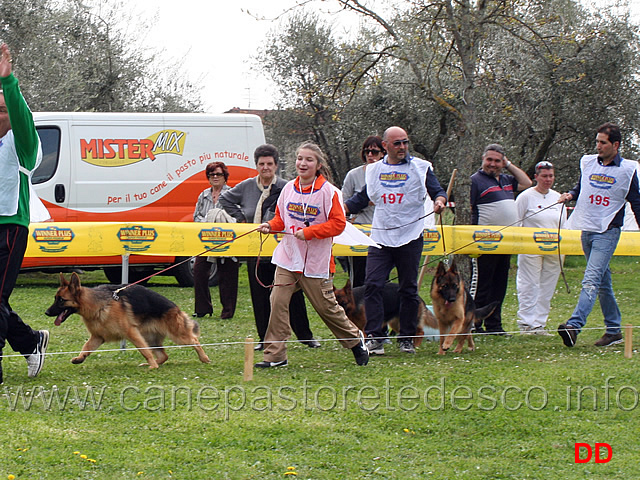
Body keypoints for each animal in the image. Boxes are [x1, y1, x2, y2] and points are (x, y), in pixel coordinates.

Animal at [45, 274, 210, 368]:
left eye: (61, 300)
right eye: (55, 298)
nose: (46, 312)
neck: (98, 305)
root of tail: (176, 307)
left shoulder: (131, 333)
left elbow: (144, 351)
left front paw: (152, 366)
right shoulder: (98, 337)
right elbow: (86, 347)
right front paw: (80, 358)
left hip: (177, 336)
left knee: (194, 341)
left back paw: (204, 358)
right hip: (150, 338)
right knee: (164, 356)